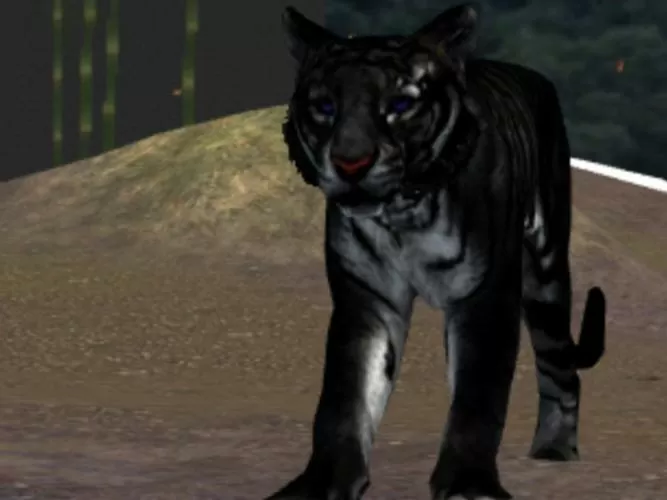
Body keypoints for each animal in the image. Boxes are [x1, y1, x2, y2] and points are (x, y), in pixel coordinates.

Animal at [266, 3, 606, 499]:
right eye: (324, 107)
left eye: (401, 105)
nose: (351, 163)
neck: (403, 214)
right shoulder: (365, 299)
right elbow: (346, 396)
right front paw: (323, 482)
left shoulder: (485, 299)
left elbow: (477, 400)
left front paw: (468, 484)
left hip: (545, 275)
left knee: (562, 366)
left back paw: (555, 449)